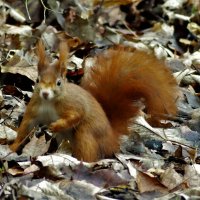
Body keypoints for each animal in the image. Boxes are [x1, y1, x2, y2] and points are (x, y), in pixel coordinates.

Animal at [9, 41, 177, 162]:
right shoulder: (34, 109)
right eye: (37, 80)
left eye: (58, 82)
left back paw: (81, 161)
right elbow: (25, 128)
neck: (49, 102)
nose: (44, 93)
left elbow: (77, 115)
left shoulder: (73, 104)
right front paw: (12, 147)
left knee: (88, 148)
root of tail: (111, 139)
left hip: (87, 133)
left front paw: (56, 125)